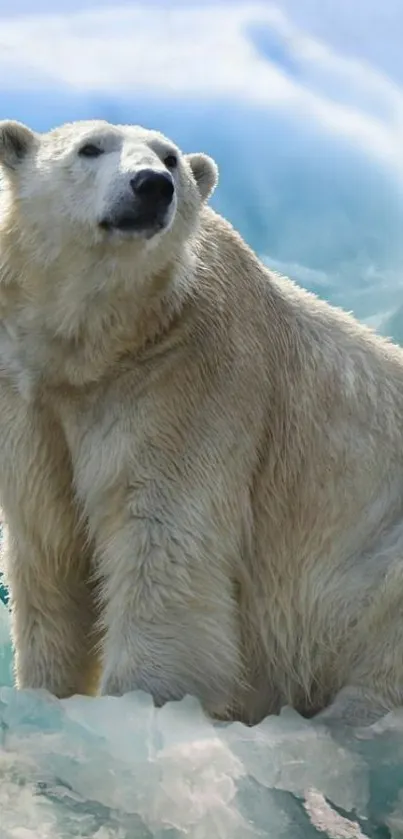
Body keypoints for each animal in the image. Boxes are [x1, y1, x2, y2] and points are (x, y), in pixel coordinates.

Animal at [0, 118, 403, 728]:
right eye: (90, 148)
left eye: (171, 159)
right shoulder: (32, 401)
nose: (151, 186)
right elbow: (50, 548)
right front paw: (47, 694)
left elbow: (163, 539)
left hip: (378, 556)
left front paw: (139, 703)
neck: (103, 347)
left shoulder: (189, 378)